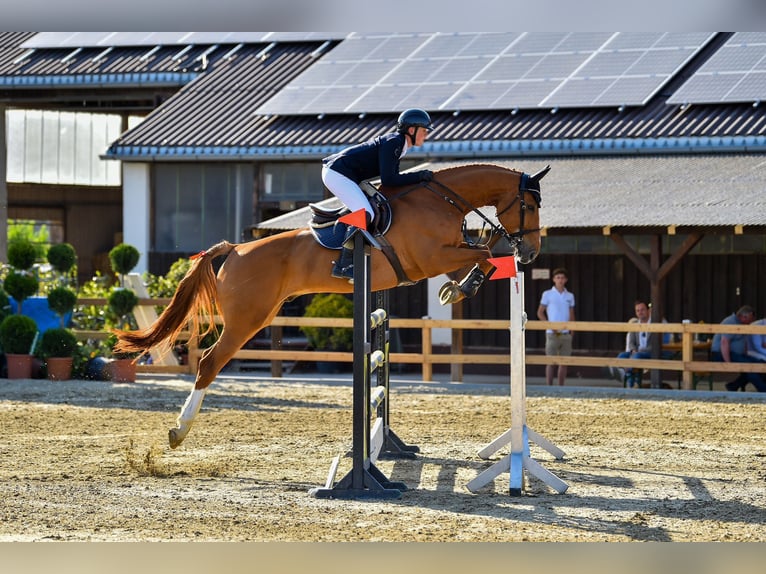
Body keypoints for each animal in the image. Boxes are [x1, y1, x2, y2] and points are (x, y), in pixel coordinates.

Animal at [112, 163, 544, 450]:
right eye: (531, 206)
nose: (531, 253)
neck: (444, 201)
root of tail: (235, 249)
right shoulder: (430, 258)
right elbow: (485, 253)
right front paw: (460, 288)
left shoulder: (444, 254)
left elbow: (480, 256)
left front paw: (457, 288)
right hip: (247, 320)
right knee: (208, 364)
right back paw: (179, 430)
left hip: (258, 314)